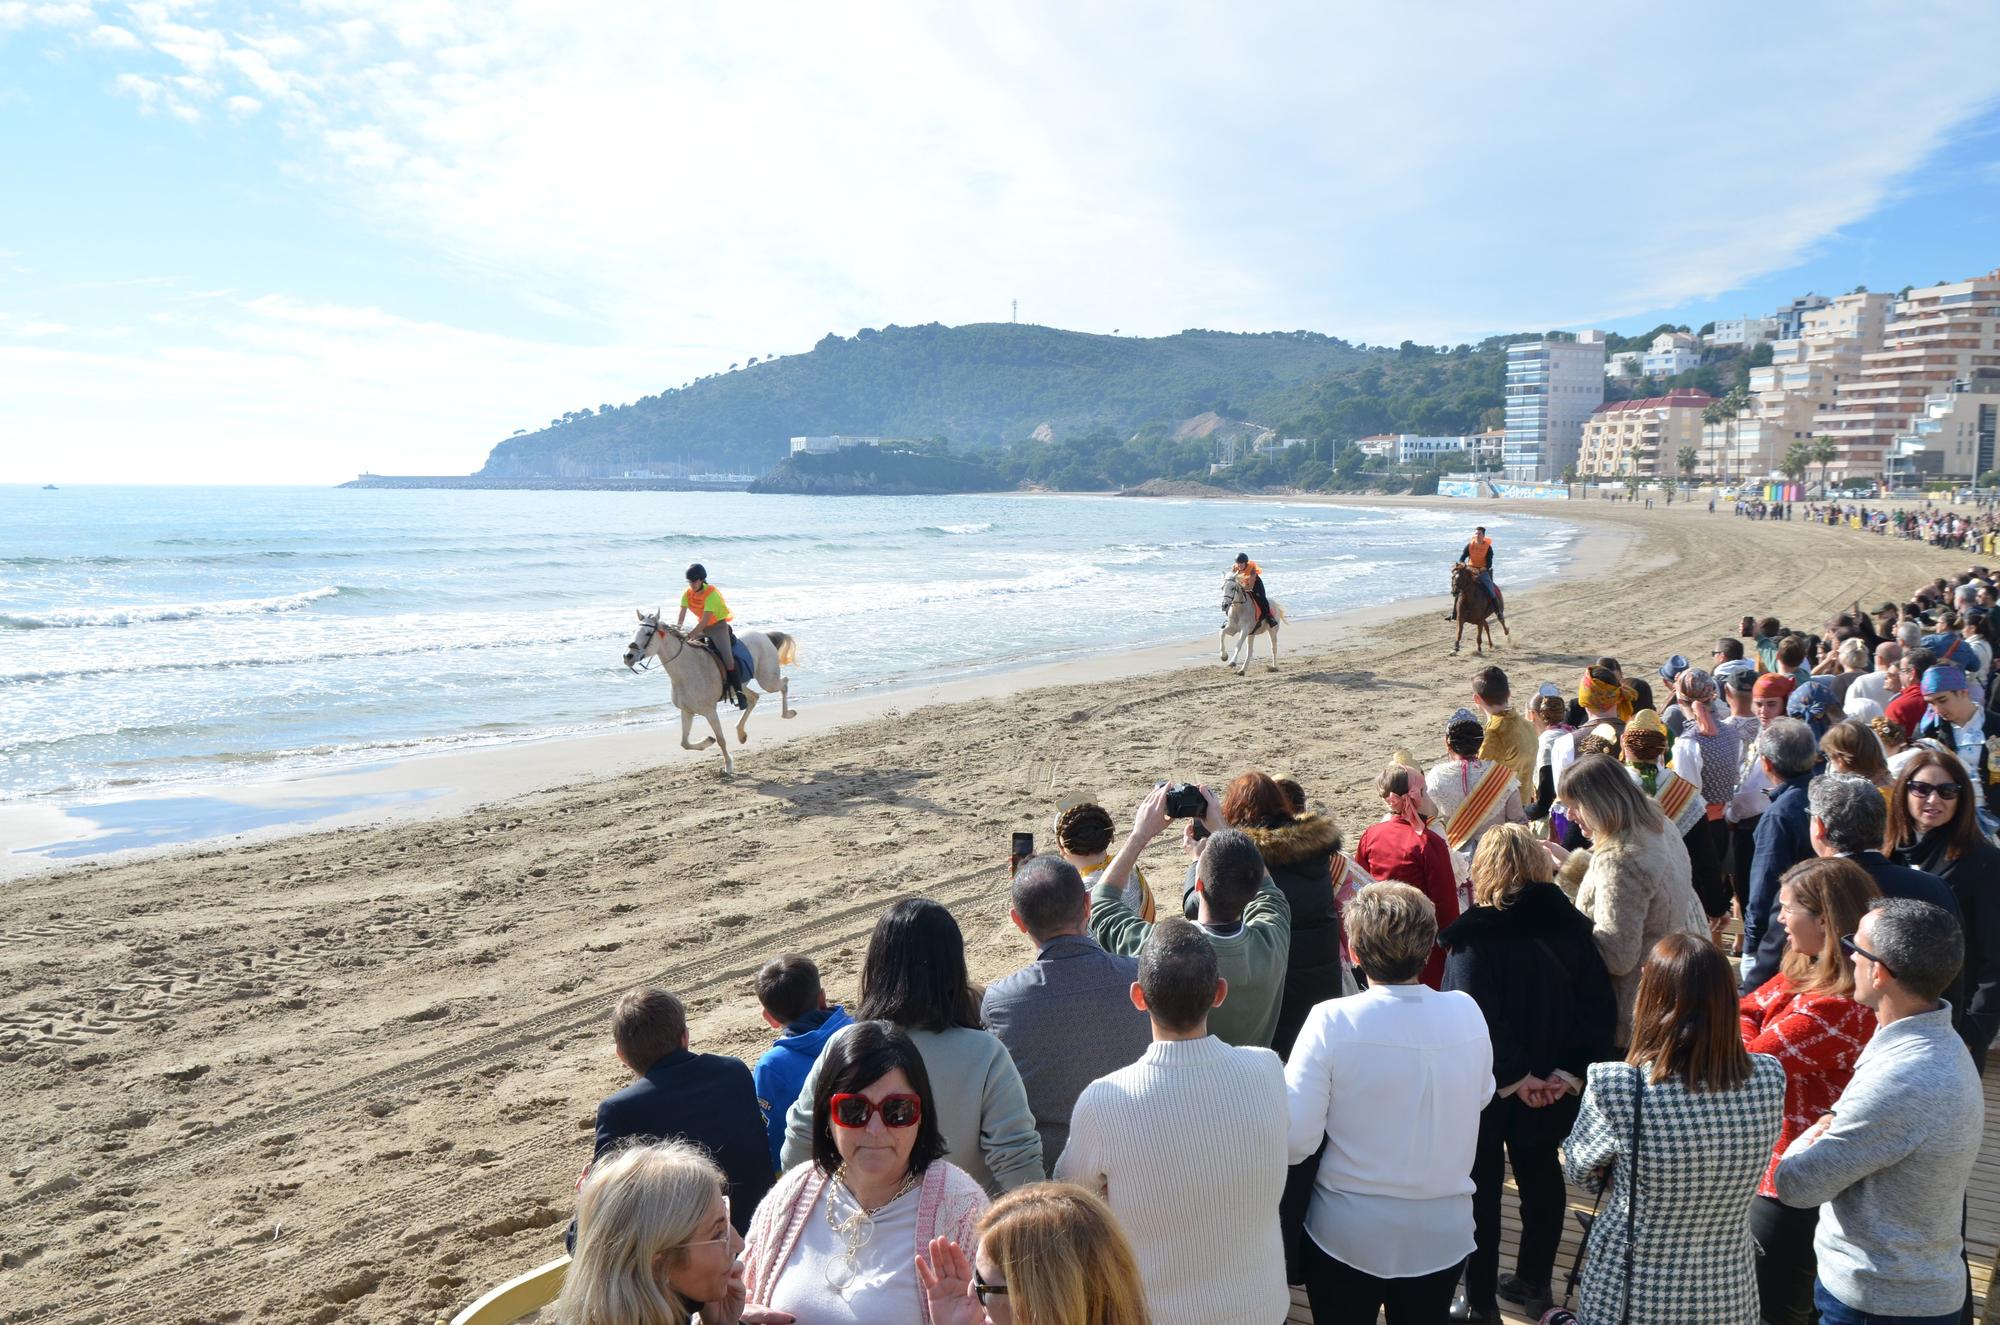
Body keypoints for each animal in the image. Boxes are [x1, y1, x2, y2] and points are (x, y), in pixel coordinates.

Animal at [624, 612, 796, 780]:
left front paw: (728, 766)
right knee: (754, 698)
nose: (628, 656)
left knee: (785, 683)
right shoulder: (687, 711)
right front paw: (707, 741)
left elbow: (720, 739)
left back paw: (788, 714)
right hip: (741, 687)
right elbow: (684, 743)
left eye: (647, 633)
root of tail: (764, 635)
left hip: (767, 681)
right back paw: (741, 734)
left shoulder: (710, 711)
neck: (687, 670)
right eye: (634, 632)